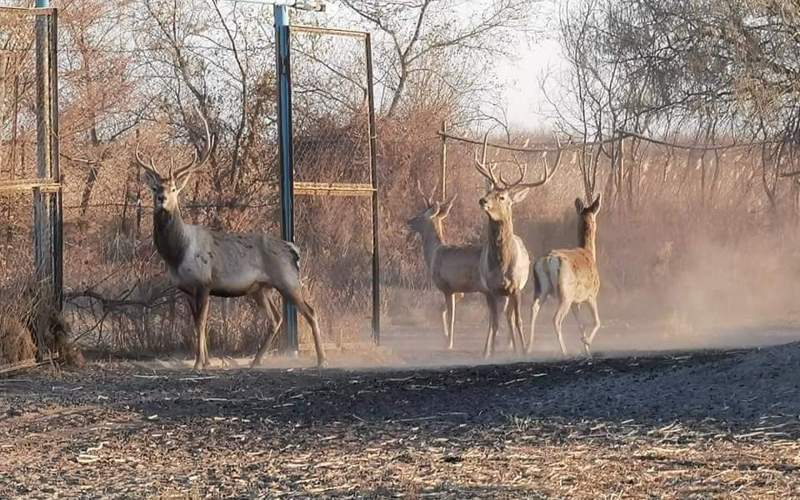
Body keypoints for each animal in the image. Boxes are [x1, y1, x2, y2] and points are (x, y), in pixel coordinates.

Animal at [135, 107, 324, 370]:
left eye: (173, 189)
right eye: (155, 188)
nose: (161, 198)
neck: (177, 253)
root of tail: (292, 248)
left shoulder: (204, 281)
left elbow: (200, 323)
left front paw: (198, 364)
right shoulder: (185, 287)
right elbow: (197, 323)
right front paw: (205, 362)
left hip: (287, 280)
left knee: (310, 311)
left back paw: (321, 360)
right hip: (260, 288)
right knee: (276, 318)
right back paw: (255, 361)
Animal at [406, 180, 482, 348]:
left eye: (421, 214)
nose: (408, 220)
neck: (434, 253)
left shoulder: (448, 286)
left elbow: (451, 316)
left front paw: (449, 343)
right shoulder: (459, 290)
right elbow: (442, 311)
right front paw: (445, 336)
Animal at [476, 135, 564, 358]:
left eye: (502, 197)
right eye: (489, 191)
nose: (482, 200)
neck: (502, 264)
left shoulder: (516, 287)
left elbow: (518, 321)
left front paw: (523, 350)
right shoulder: (491, 288)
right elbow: (494, 323)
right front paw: (489, 353)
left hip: (515, 291)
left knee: (509, 317)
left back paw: (515, 347)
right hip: (493, 292)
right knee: (497, 319)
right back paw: (488, 349)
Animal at [528, 194, 604, 356]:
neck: (589, 254)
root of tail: (547, 261)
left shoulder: (576, 301)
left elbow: (581, 324)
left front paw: (586, 349)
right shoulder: (591, 295)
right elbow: (597, 321)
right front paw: (587, 342)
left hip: (540, 289)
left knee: (533, 309)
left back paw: (528, 347)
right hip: (565, 292)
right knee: (556, 319)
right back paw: (564, 351)